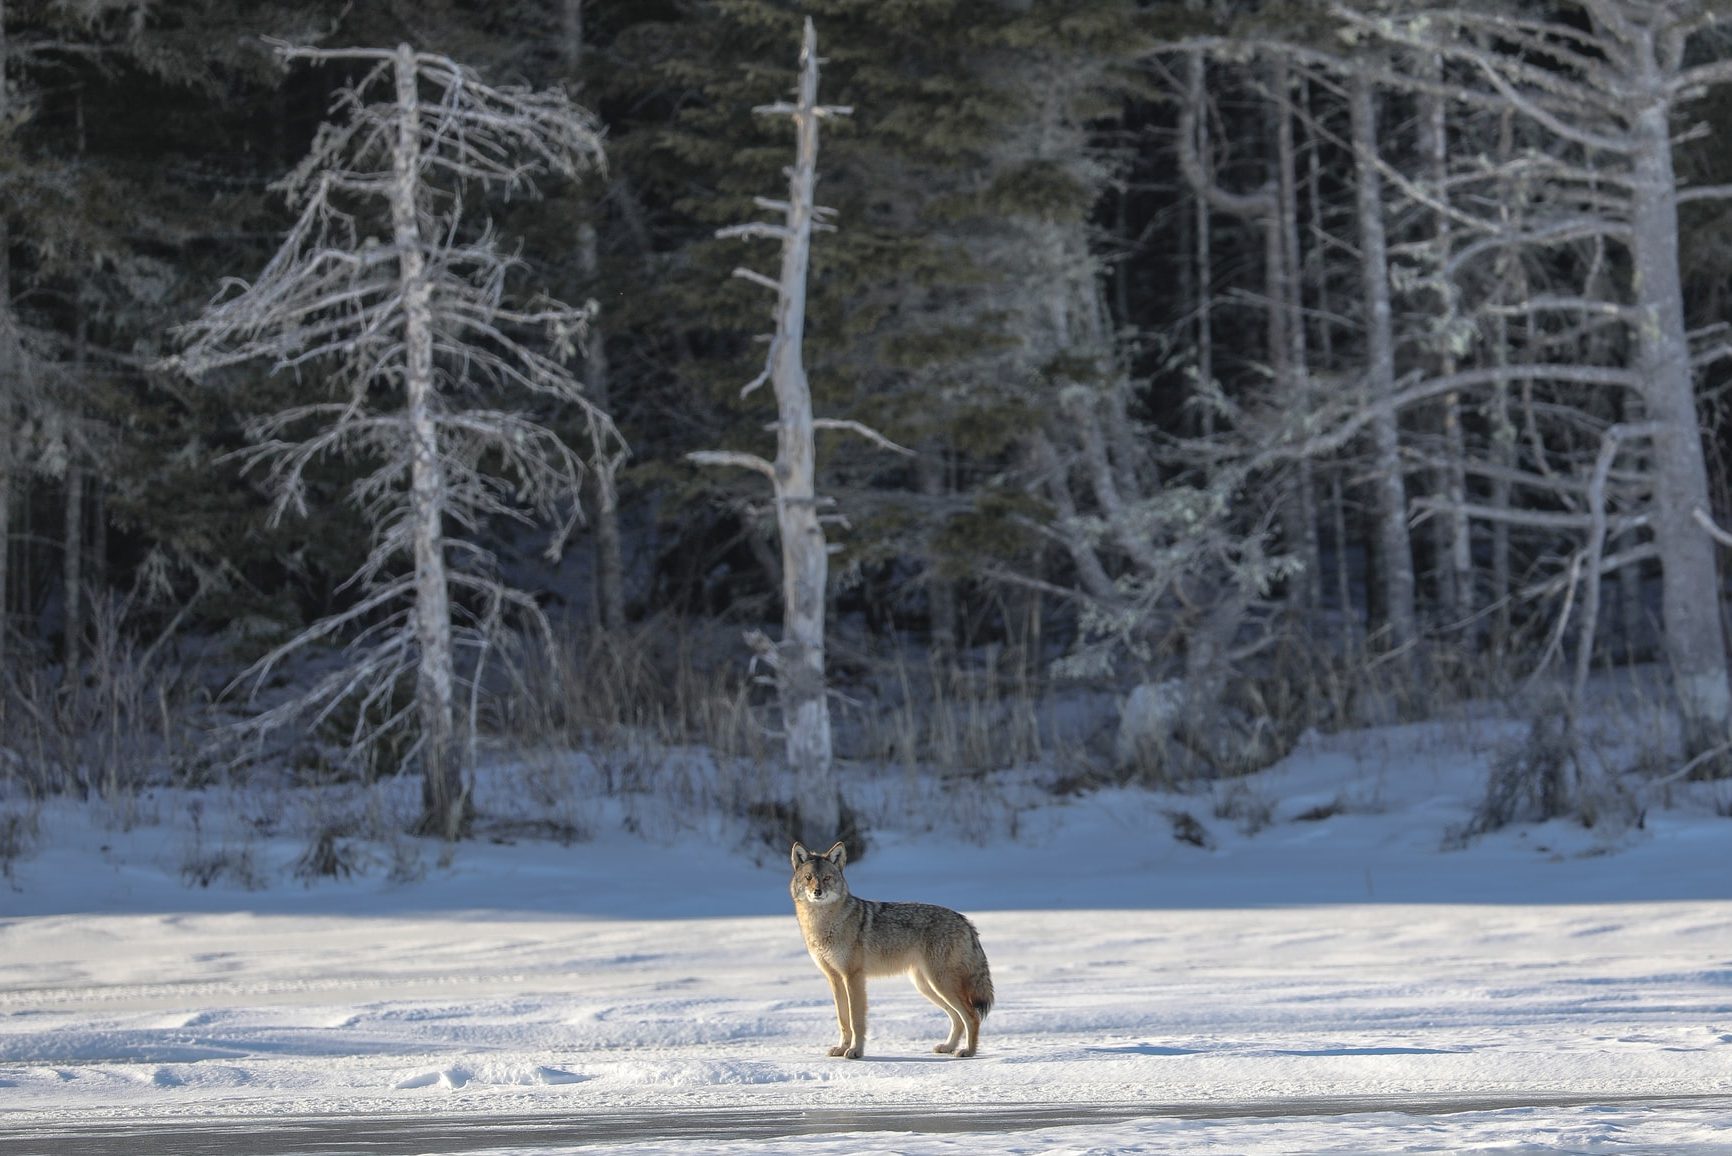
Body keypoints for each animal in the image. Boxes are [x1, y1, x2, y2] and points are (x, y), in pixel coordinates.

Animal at [789, 840, 994, 1059]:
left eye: (827, 878)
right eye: (809, 878)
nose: (817, 892)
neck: (823, 924)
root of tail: (964, 920)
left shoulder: (853, 977)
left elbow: (856, 1020)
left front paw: (855, 1051)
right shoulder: (834, 979)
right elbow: (843, 1020)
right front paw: (842, 1048)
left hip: (940, 984)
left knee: (971, 1016)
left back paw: (968, 1051)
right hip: (927, 986)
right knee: (957, 1018)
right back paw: (948, 1047)